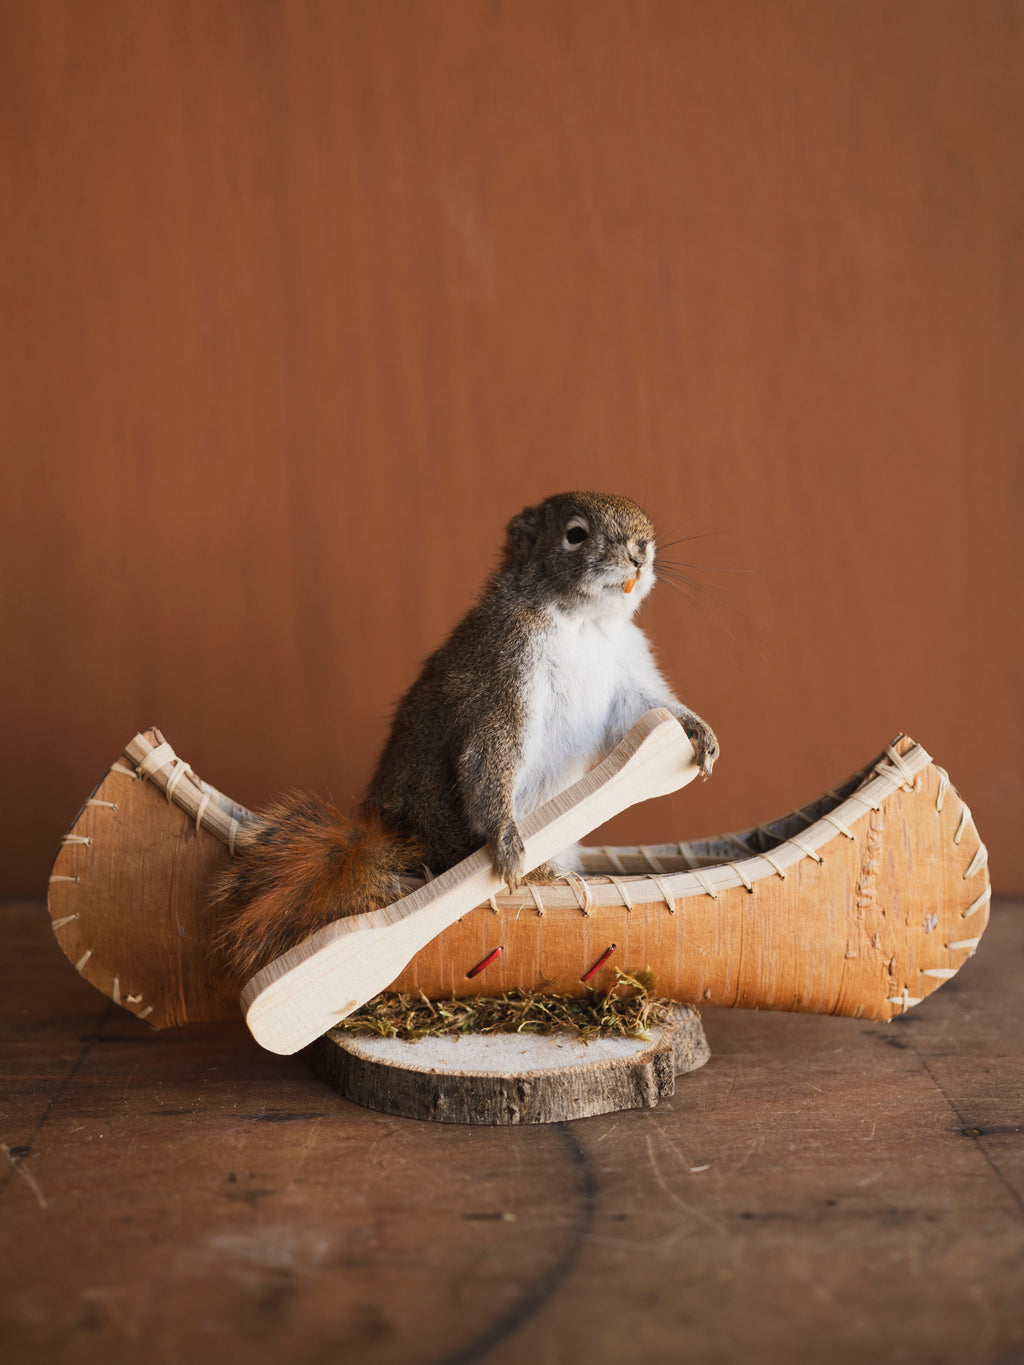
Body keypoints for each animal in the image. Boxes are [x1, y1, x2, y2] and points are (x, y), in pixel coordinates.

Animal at [213, 491, 719, 981]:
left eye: (645, 525)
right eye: (575, 534)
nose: (640, 552)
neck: (583, 624)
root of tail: (400, 836)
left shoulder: (627, 673)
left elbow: (644, 709)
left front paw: (698, 731)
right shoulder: (505, 670)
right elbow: (489, 752)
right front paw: (506, 838)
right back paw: (548, 874)